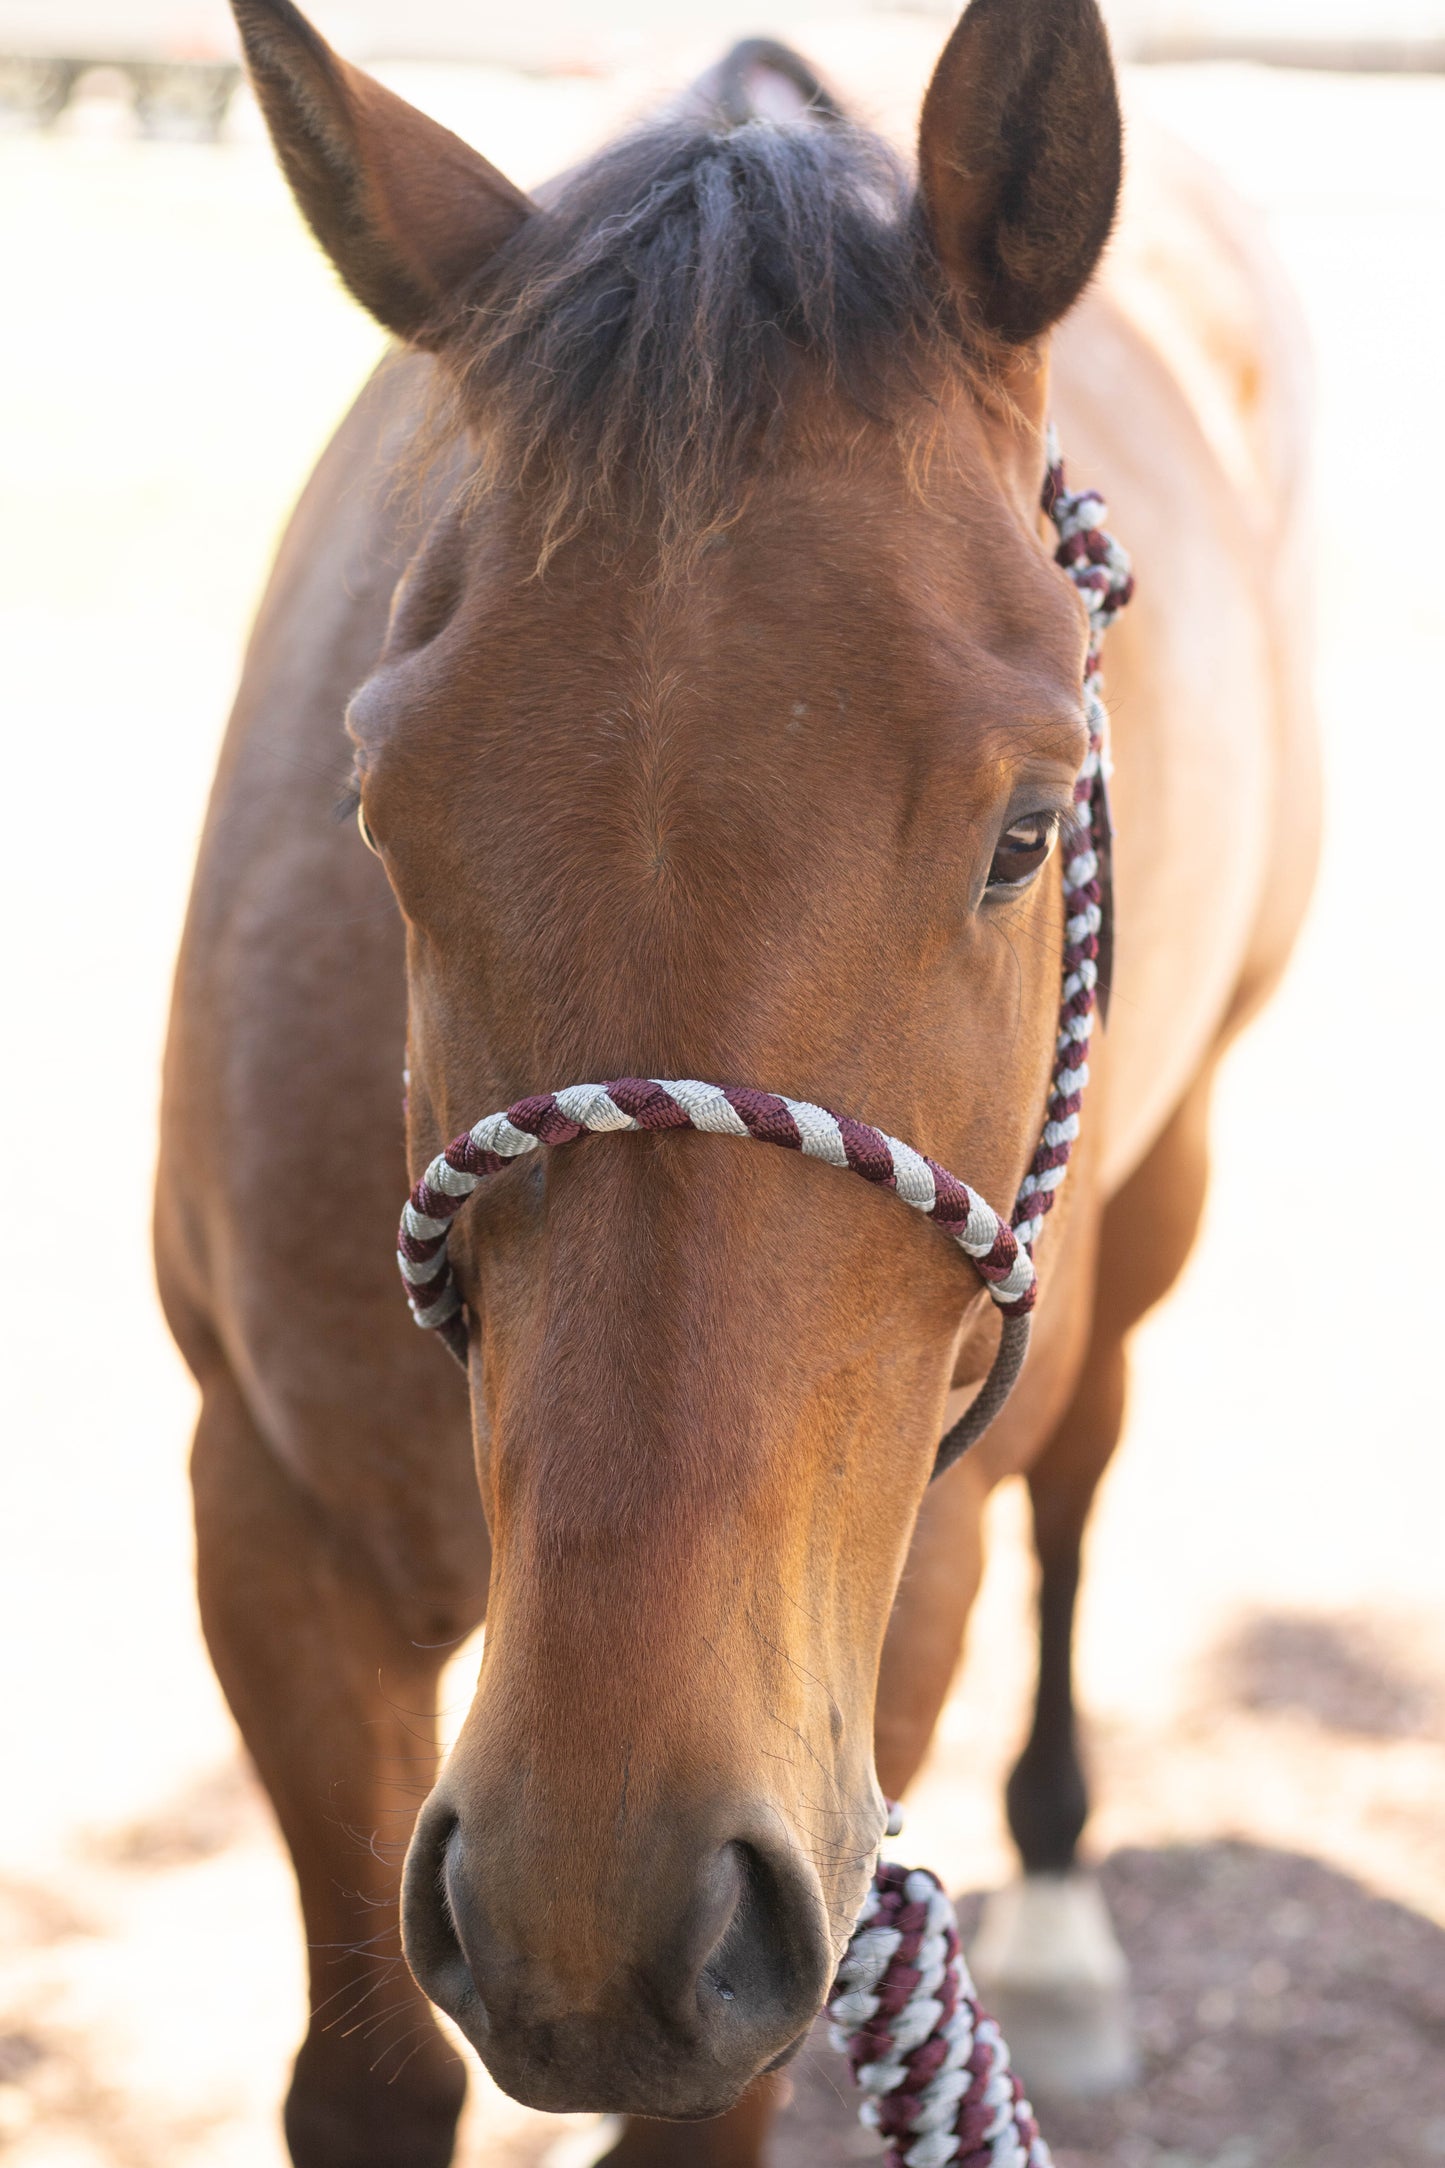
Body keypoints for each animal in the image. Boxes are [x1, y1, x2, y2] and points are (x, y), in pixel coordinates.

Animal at [158, 8, 1325, 2159]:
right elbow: (367, 2080)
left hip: (1159, 1192)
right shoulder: (266, 1525)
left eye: (1024, 829)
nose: (586, 1902)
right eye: (375, 804)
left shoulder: (875, 1653)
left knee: (1086, 1467)